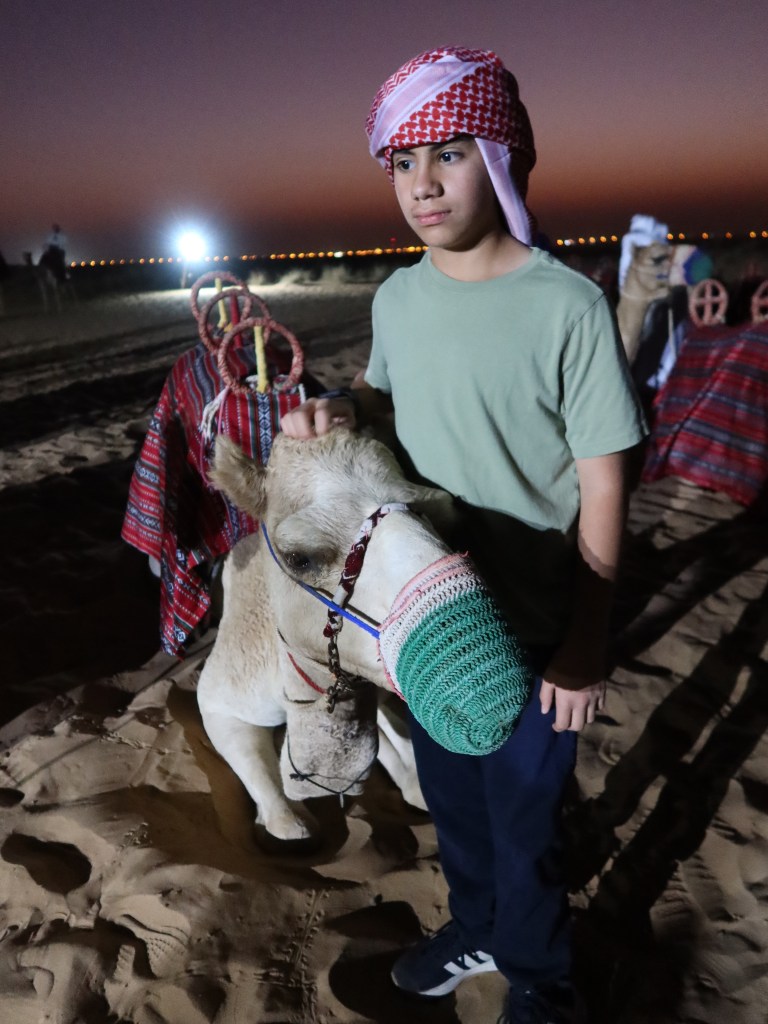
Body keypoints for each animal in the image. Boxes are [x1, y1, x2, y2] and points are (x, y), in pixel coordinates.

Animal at [197, 429, 532, 844]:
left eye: (440, 513)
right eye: (299, 558)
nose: (484, 678)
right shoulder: (222, 693)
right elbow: (271, 793)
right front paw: (288, 818)